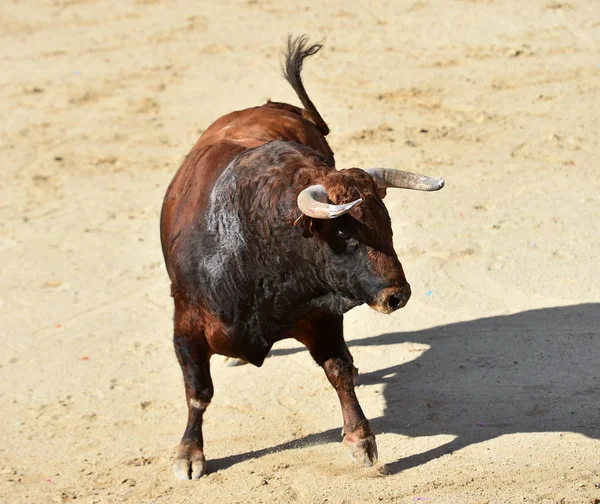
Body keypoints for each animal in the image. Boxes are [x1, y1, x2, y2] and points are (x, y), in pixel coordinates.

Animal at [161, 36, 446, 480]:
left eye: (387, 222)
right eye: (344, 233)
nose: (397, 296)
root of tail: (274, 106)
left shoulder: (322, 316)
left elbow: (339, 370)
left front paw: (361, 440)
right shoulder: (186, 327)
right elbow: (198, 391)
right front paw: (189, 454)